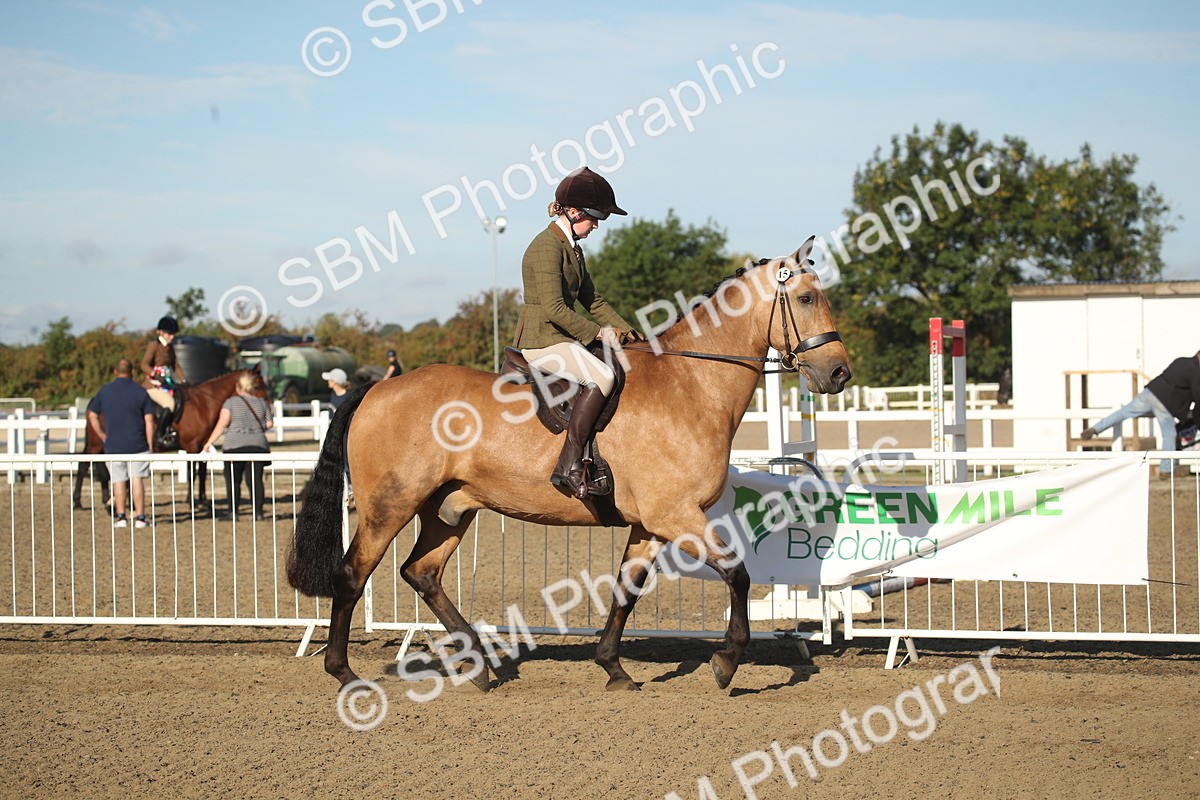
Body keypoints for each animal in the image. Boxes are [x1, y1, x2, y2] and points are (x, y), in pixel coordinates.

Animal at [287, 237, 852, 693]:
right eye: (807, 298)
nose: (839, 373)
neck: (690, 384)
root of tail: (375, 389)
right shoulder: (677, 515)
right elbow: (737, 574)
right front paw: (726, 663)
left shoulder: (652, 523)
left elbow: (627, 590)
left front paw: (613, 668)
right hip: (390, 505)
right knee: (352, 575)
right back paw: (345, 673)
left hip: (449, 508)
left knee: (421, 573)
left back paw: (480, 666)